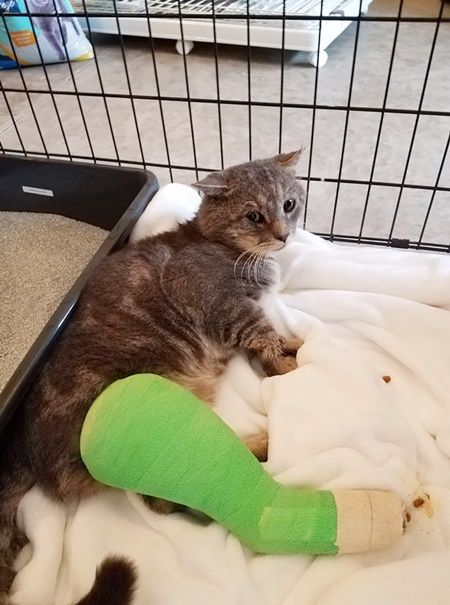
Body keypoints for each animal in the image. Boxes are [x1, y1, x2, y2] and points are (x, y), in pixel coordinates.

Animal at [0, 147, 306, 604]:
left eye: (289, 204)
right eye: (254, 216)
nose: (284, 235)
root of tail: (23, 450)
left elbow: (273, 336)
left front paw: (294, 346)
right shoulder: (222, 306)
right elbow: (264, 336)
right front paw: (291, 363)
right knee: (163, 498)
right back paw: (254, 453)